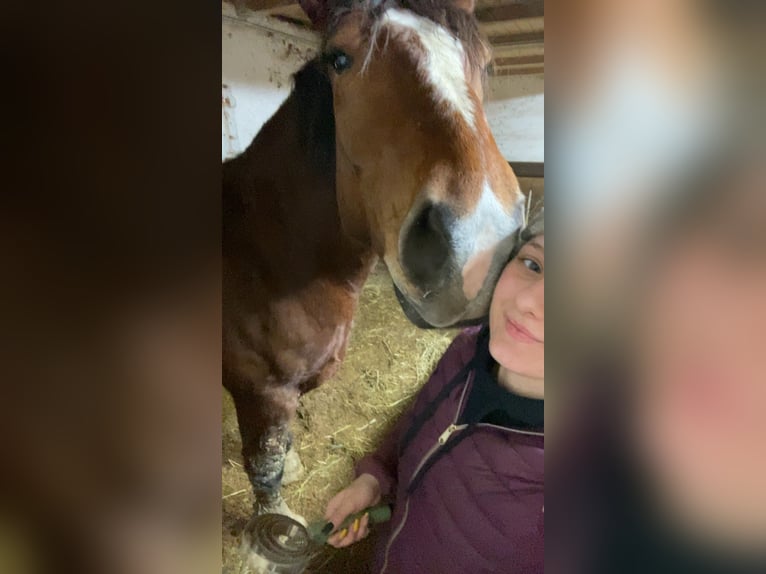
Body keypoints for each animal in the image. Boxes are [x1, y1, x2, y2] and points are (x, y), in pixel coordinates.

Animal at [219, 0, 524, 520]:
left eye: (483, 64)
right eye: (339, 59)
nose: (481, 246)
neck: (268, 252)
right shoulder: (262, 392)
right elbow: (264, 465)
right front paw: (274, 530)